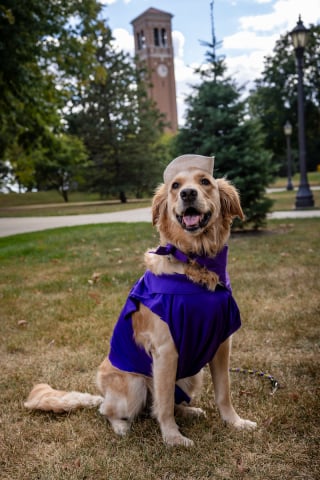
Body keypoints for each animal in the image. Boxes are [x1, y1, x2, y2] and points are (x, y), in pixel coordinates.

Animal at [23, 155, 256, 446]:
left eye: (205, 182)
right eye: (175, 185)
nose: (187, 194)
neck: (195, 262)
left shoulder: (222, 343)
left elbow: (224, 391)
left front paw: (235, 422)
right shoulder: (166, 350)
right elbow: (164, 404)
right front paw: (173, 438)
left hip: (193, 374)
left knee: (161, 405)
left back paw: (190, 411)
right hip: (133, 386)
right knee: (112, 410)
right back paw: (122, 426)